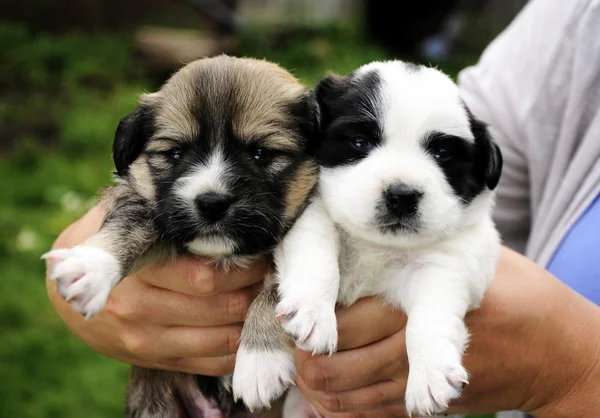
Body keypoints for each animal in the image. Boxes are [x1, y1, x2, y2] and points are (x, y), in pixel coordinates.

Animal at [44, 55, 322, 418]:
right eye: (175, 154)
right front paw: (90, 268)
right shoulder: (156, 211)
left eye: (262, 153)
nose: (211, 202)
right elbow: (129, 225)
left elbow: (280, 284)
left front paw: (259, 361)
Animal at [234, 59, 502, 418]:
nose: (402, 195)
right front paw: (312, 312)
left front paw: (430, 374)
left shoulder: (448, 266)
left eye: (443, 153)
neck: (376, 244)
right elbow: (317, 256)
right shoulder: (308, 213)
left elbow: (430, 316)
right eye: (360, 142)